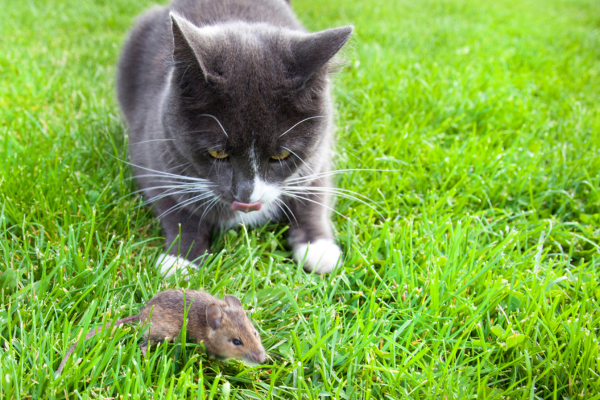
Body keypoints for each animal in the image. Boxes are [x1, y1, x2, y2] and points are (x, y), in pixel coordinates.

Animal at [55, 289, 266, 377]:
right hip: (164, 333)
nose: (263, 359)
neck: (210, 329)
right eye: (236, 342)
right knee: (143, 345)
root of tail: (141, 314)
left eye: (255, 333)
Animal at [116, 0, 352, 275]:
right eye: (217, 153)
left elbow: (315, 197)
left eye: (282, 155)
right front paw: (181, 259)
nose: (247, 197)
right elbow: (176, 207)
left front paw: (319, 248)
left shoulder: (318, 156)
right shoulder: (155, 153)